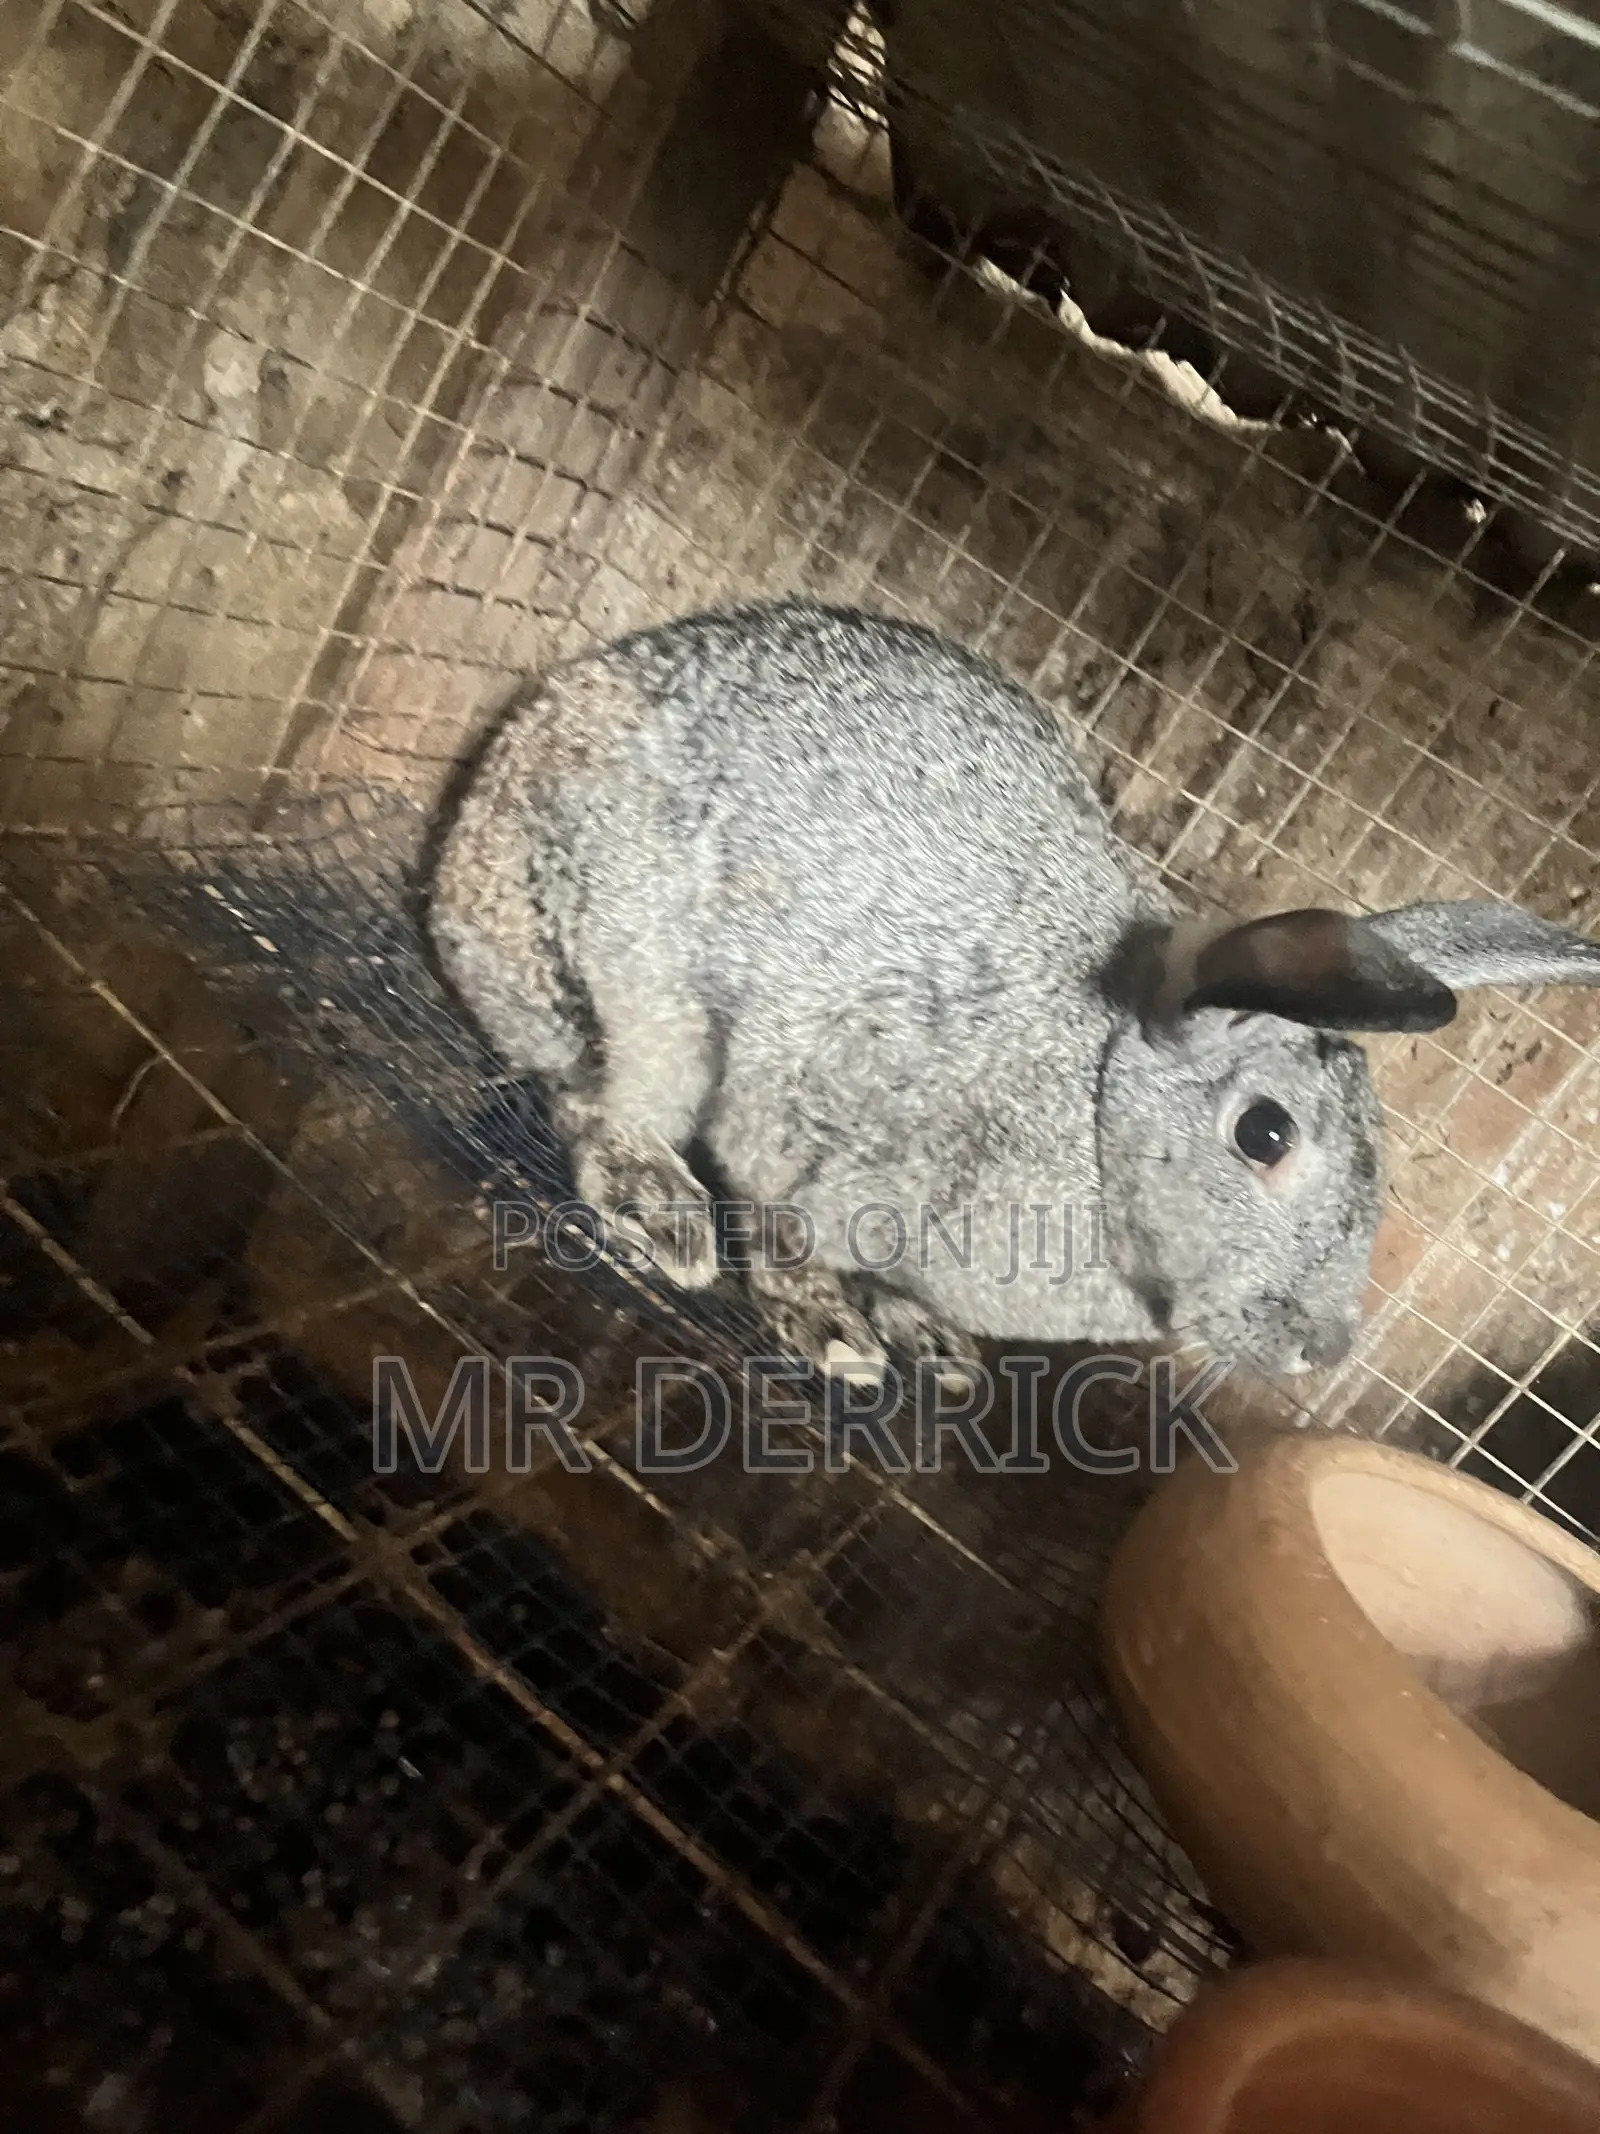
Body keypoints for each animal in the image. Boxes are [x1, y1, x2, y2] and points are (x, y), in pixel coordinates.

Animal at [427, 598, 1600, 1383]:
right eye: (1262, 1134)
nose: (1323, 1348)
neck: (1092, 1104)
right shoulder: (805, 1128)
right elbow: (789, 1238)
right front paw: (839, 1336)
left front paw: (928, 1342)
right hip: (639, 980)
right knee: (597, 1095)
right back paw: (661, 1212)